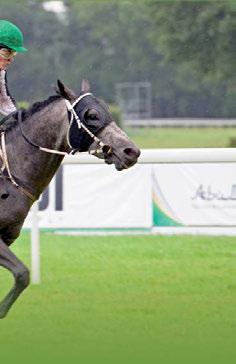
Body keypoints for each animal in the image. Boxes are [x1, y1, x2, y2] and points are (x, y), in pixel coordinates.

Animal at [0, 78, 140, 318]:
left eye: (107, 109)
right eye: (91, 115)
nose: (131, 151)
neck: (8, 173)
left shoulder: (8, 237)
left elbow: (21, 275)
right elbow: (22, 273)